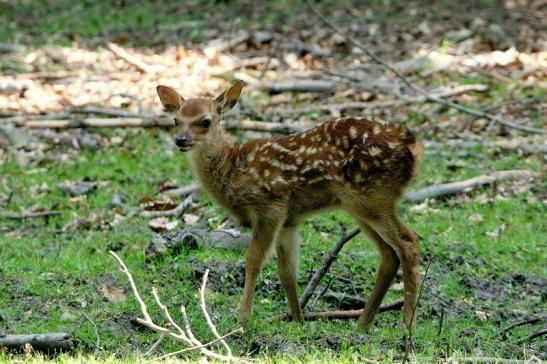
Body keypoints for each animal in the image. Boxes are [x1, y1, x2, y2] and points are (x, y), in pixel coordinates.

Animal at [158, 80, 424, 336]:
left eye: (206, 121)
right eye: (176, 120)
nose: (181, 140)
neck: (233, 171)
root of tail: (414, 146)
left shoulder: (271, 205)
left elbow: (253, 261)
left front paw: (242, 321)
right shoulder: (289, 220)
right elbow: (287, 272)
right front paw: (299, 321)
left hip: (371, 196)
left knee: (408, 242)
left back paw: (407, 326)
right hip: (360, 205)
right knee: (389, 253)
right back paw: (364, 324)